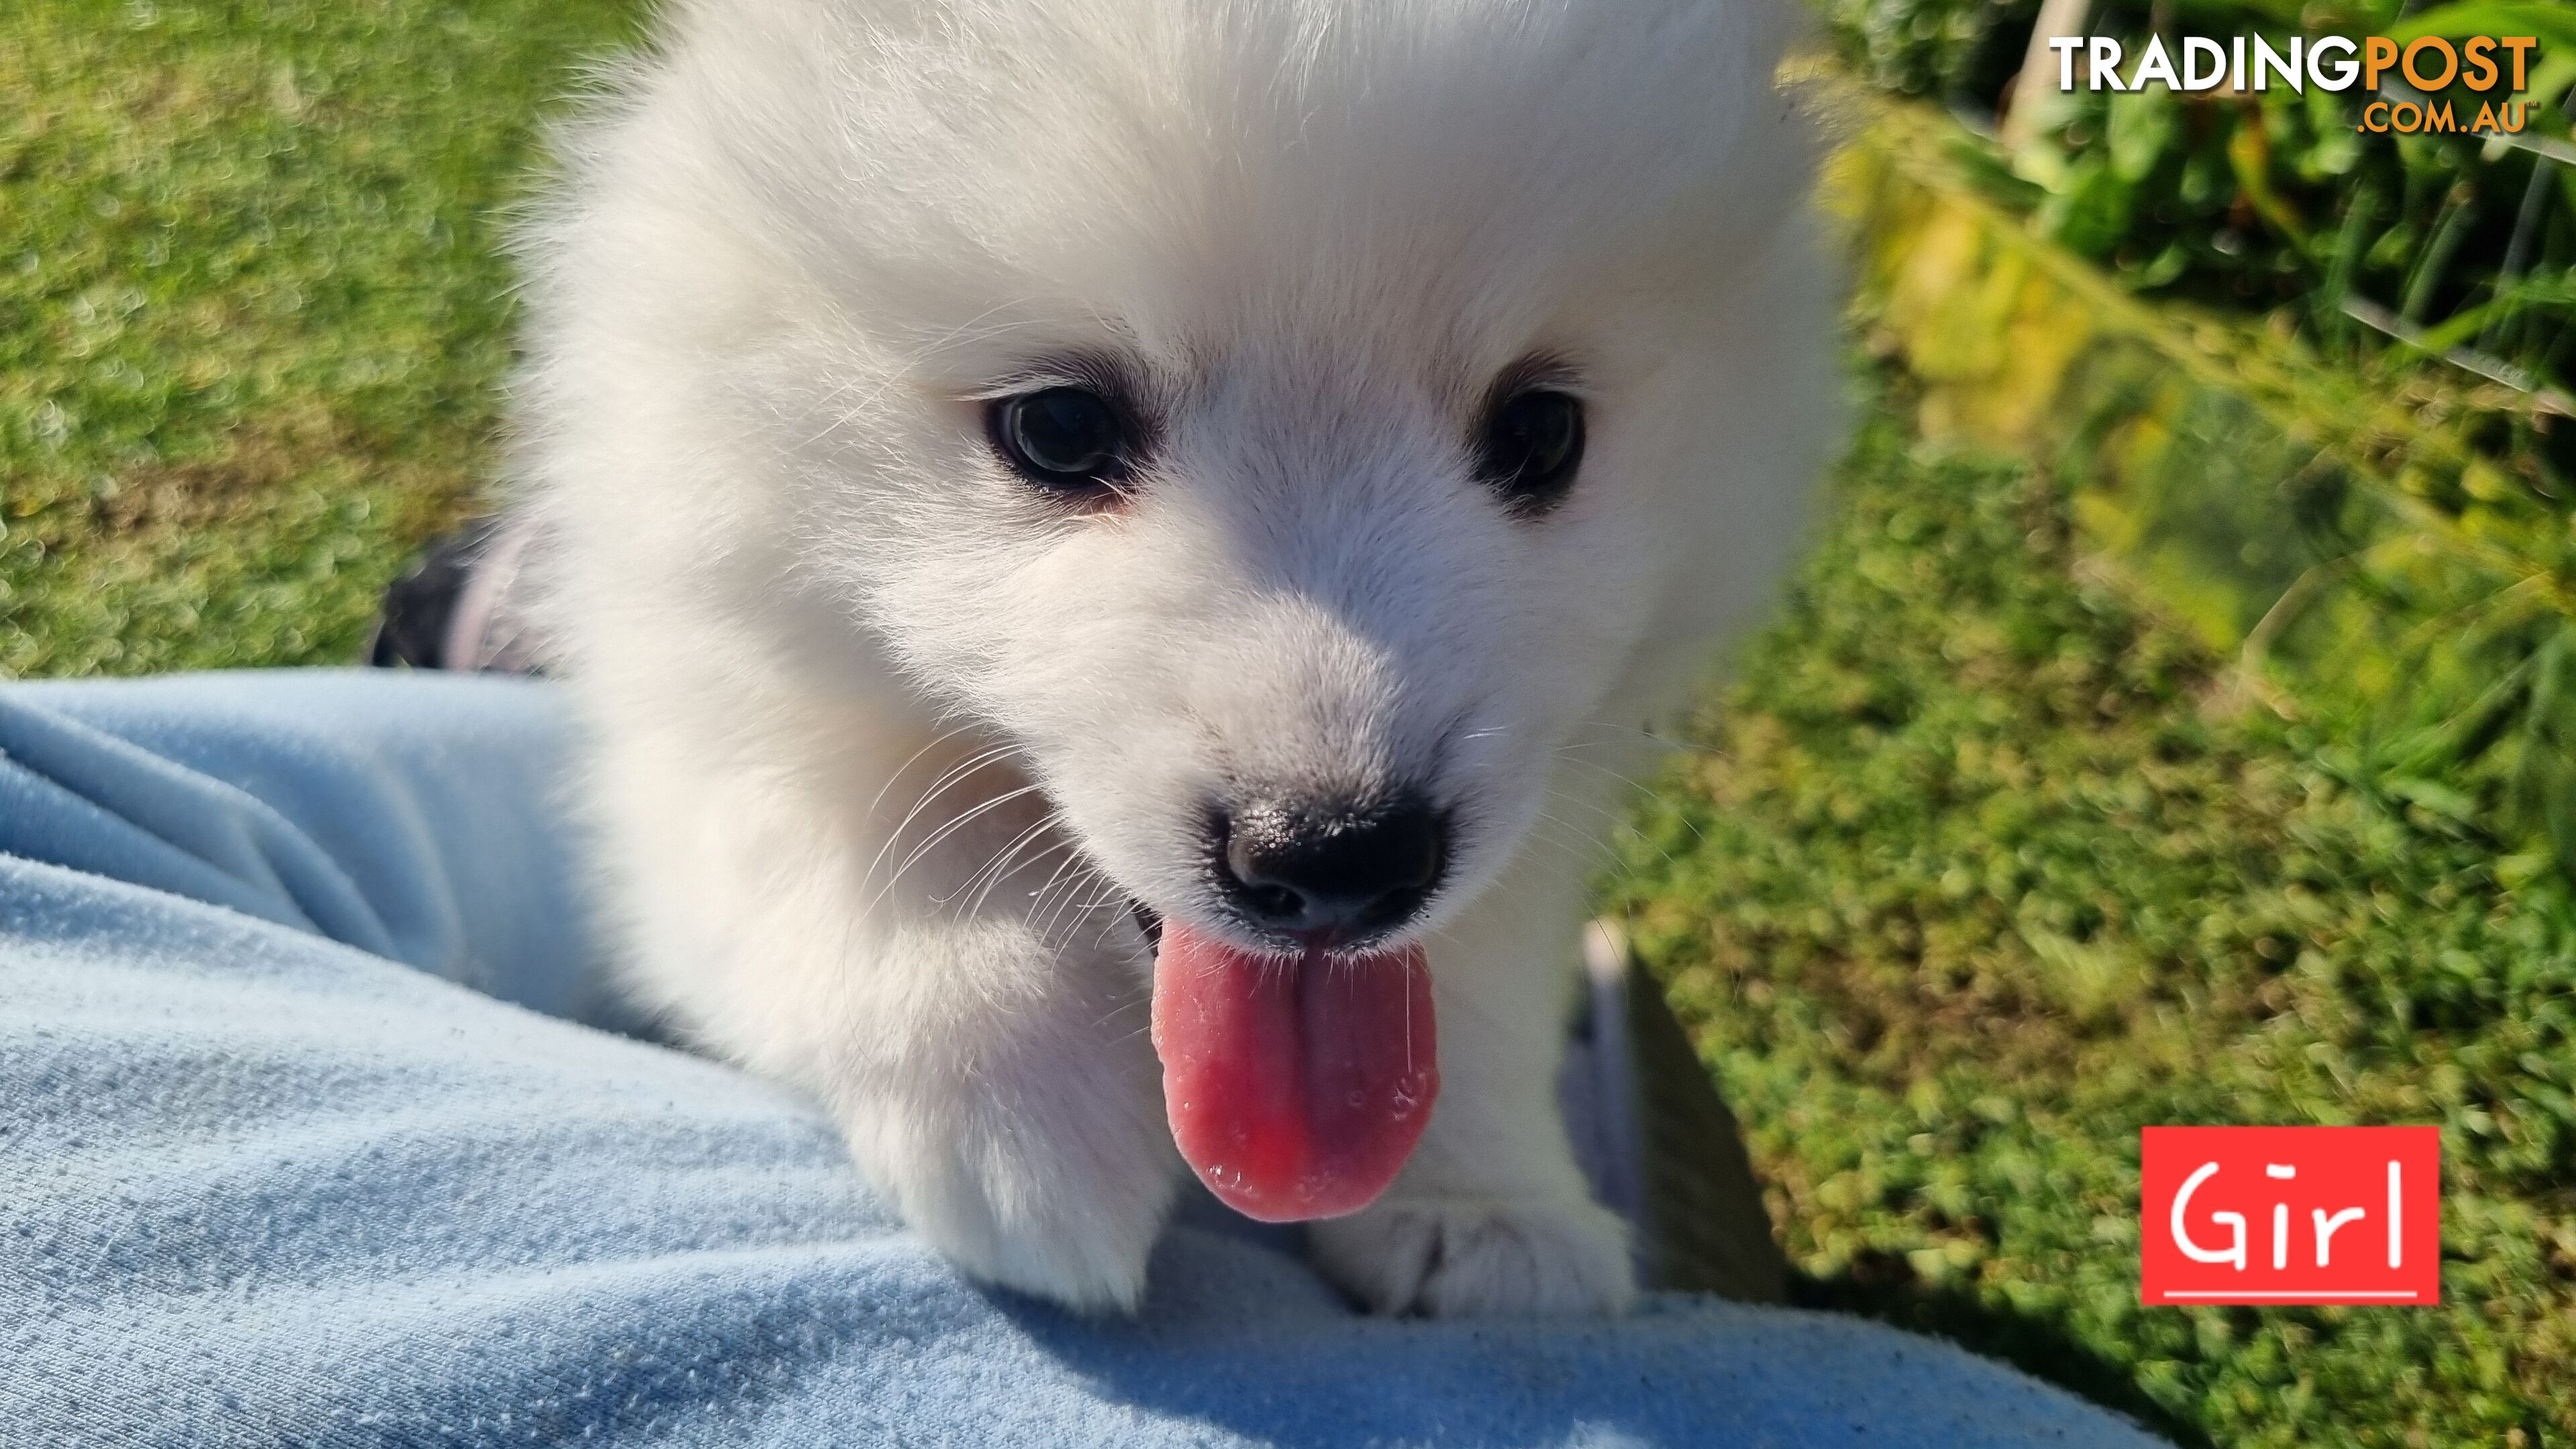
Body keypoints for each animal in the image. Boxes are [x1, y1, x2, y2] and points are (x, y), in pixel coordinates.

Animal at [513, 0, 1834, 1309]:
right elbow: (841, 842)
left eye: (1543, 434)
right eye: (1057, 425)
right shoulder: (698, 691)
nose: (1340, 860)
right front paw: (1029, 1114)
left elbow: (1481, 973)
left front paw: (1490, 1208)